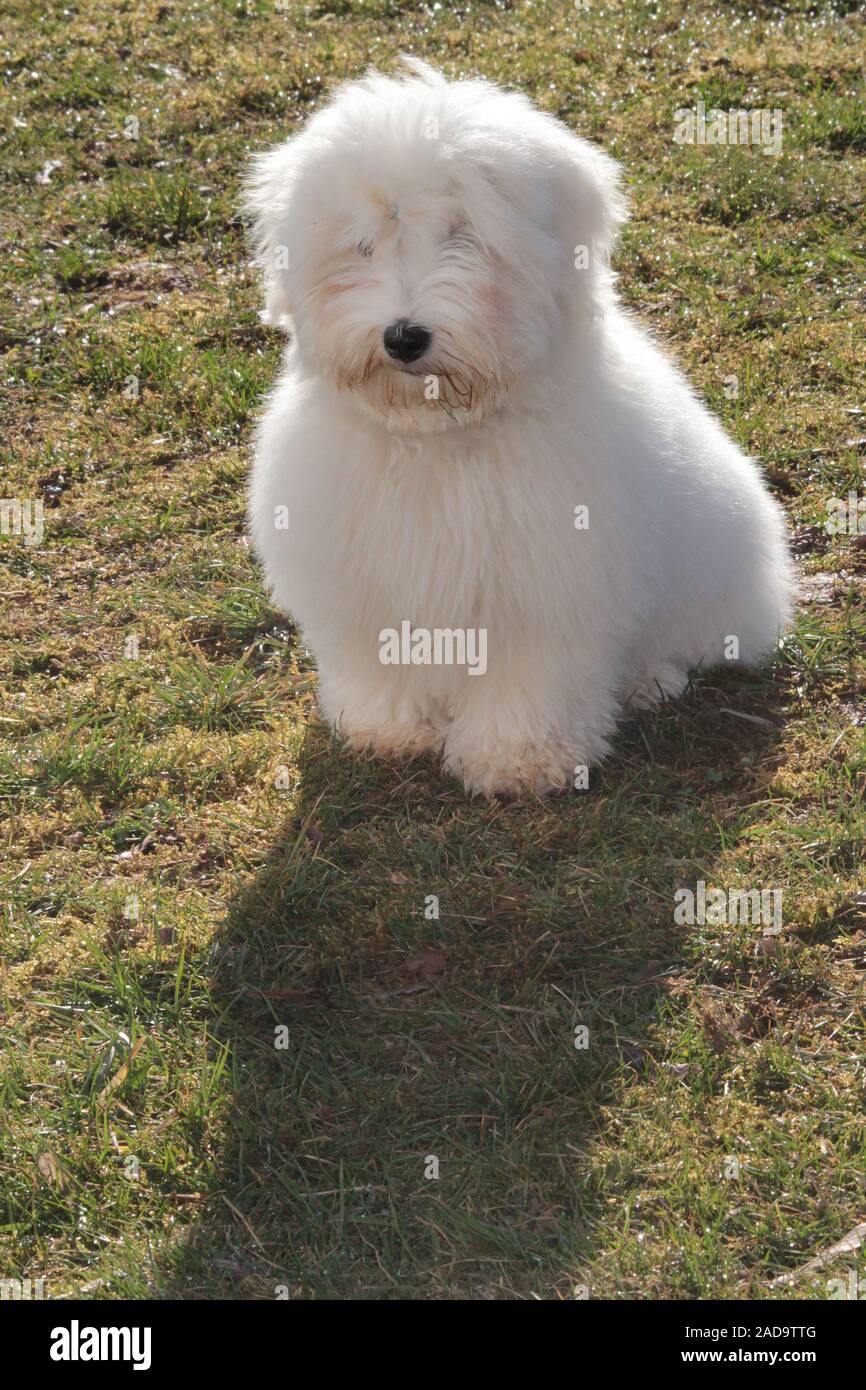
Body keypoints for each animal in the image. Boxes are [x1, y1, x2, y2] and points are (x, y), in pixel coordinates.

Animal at [247, 59, 795, 800]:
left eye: (464, 238)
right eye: (363, 246)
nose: (404, 336)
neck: (438, 435)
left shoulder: (543, 591)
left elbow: (530, 681)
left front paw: (518, 761)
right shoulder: (366, 582)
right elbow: (380, 663)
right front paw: (387, 730)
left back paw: (646, 681)